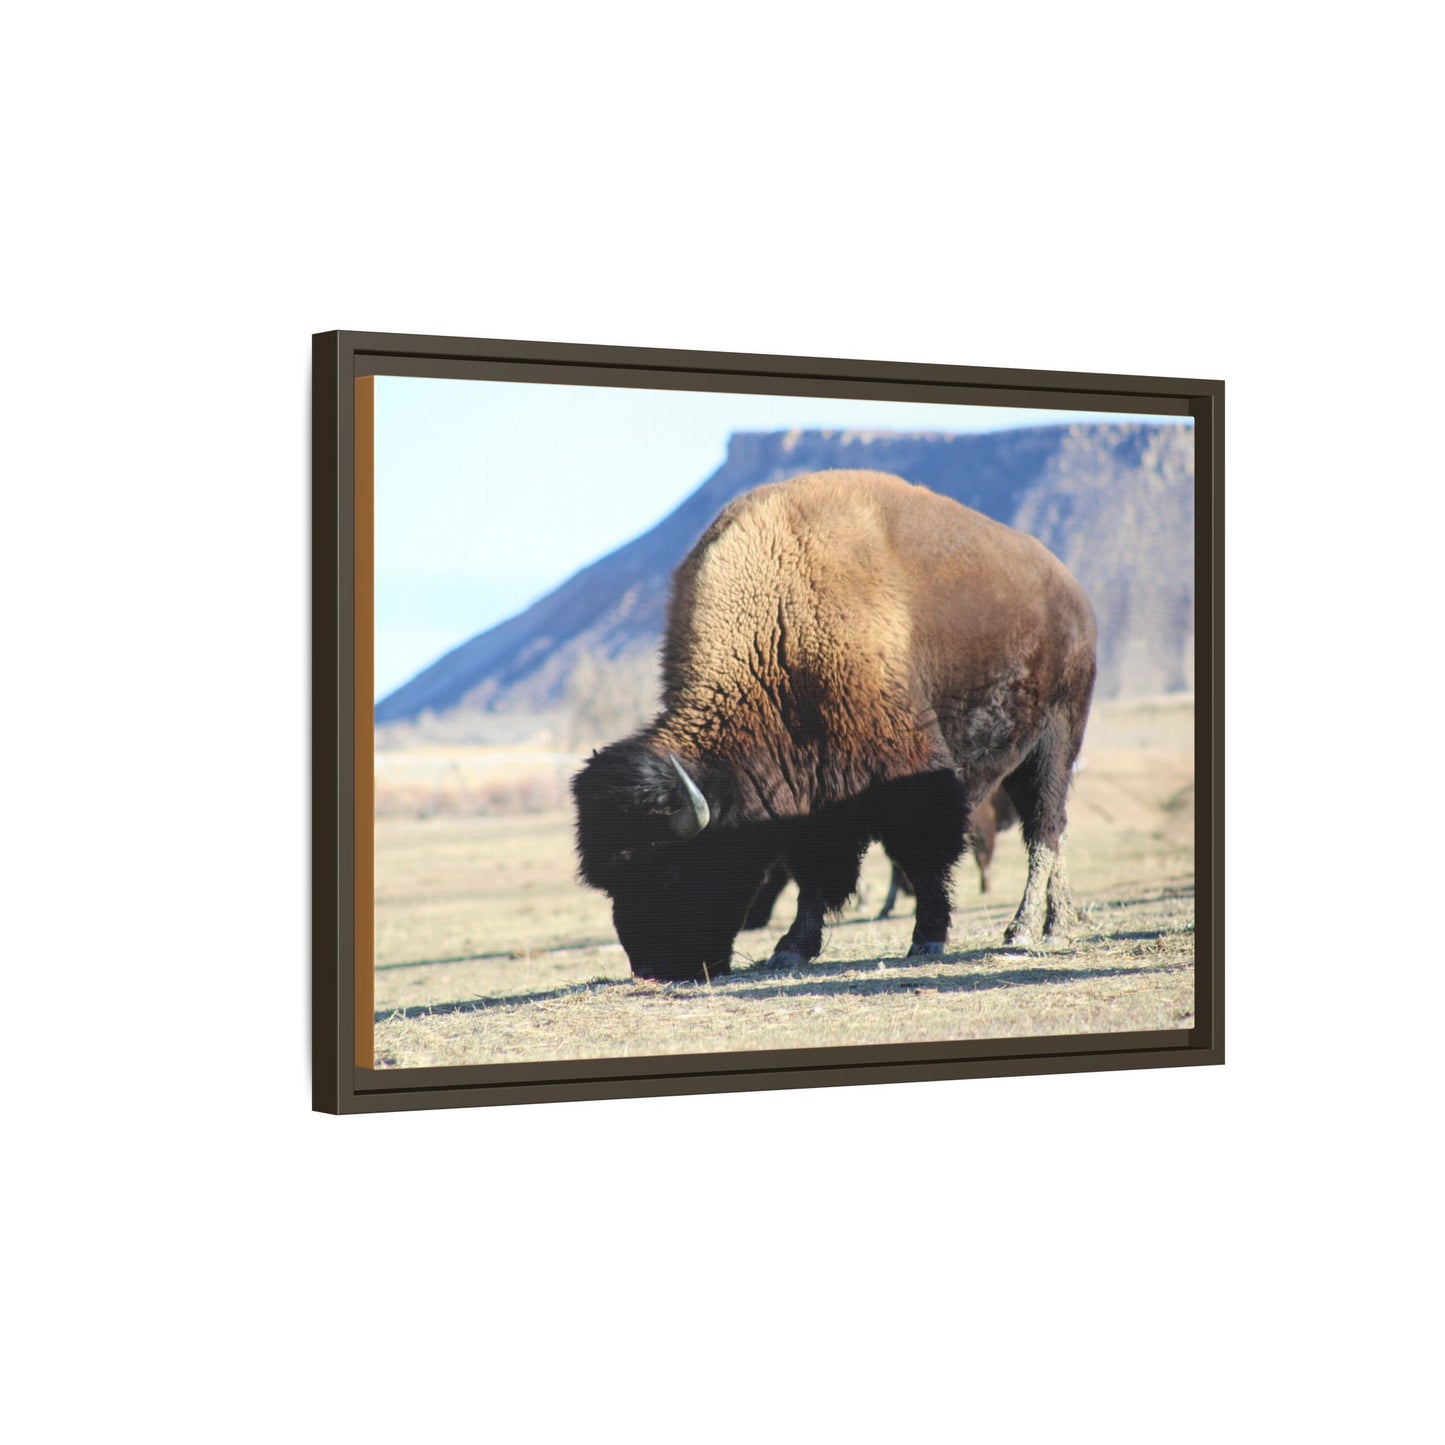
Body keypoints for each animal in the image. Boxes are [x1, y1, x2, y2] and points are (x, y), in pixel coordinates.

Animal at [572, 469, 1097, 982]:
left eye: (668, 870)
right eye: (610, 881)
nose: (653, 969)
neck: (778, 627)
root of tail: (1072, 592)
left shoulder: (907, 773)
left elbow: (922, 856)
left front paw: (927, 938)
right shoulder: (812, 793)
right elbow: (815, 872)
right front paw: (791, 949)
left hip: (1055, 738)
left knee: (1044, 828)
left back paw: (1028, 929)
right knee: (1053, 828)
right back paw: (1058, 922)